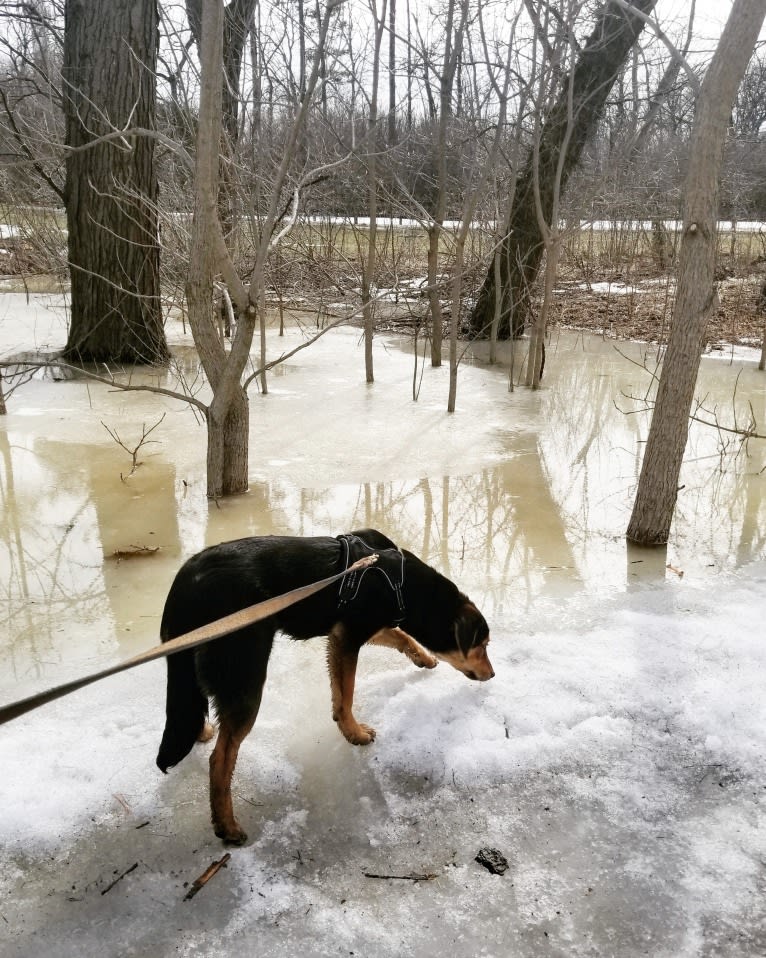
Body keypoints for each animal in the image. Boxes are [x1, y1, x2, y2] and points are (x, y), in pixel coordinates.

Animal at [157, 528, 496, 844]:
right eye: (482, 644)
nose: (493, 675)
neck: (401, 582)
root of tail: (185, 585)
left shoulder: (357, 630)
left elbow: (400, 638)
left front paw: (424, 658)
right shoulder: (348, 637)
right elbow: (346, 693)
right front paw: (354, 732)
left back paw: (201, 732)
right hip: (245, 675)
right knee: (220, 758)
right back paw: (227, 825)